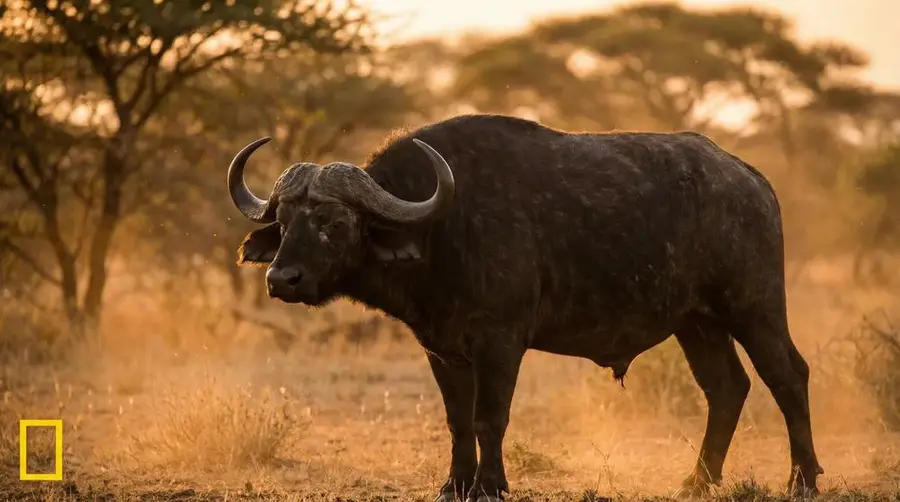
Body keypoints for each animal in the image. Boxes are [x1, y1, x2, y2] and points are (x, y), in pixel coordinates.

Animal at [226, 114, 822, 501]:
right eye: (285, 221)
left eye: (332, 222)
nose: (282, 278)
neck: (443, 227)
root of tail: (751, 180)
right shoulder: (442, 350)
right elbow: (457, 420)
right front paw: (455, 484)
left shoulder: (500, 343)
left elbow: (490, 417)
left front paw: (490, 485)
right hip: (697, 323)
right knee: (727, 388)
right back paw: (697, 480)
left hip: (754, 307)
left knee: (787, 376)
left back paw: (802, 478)